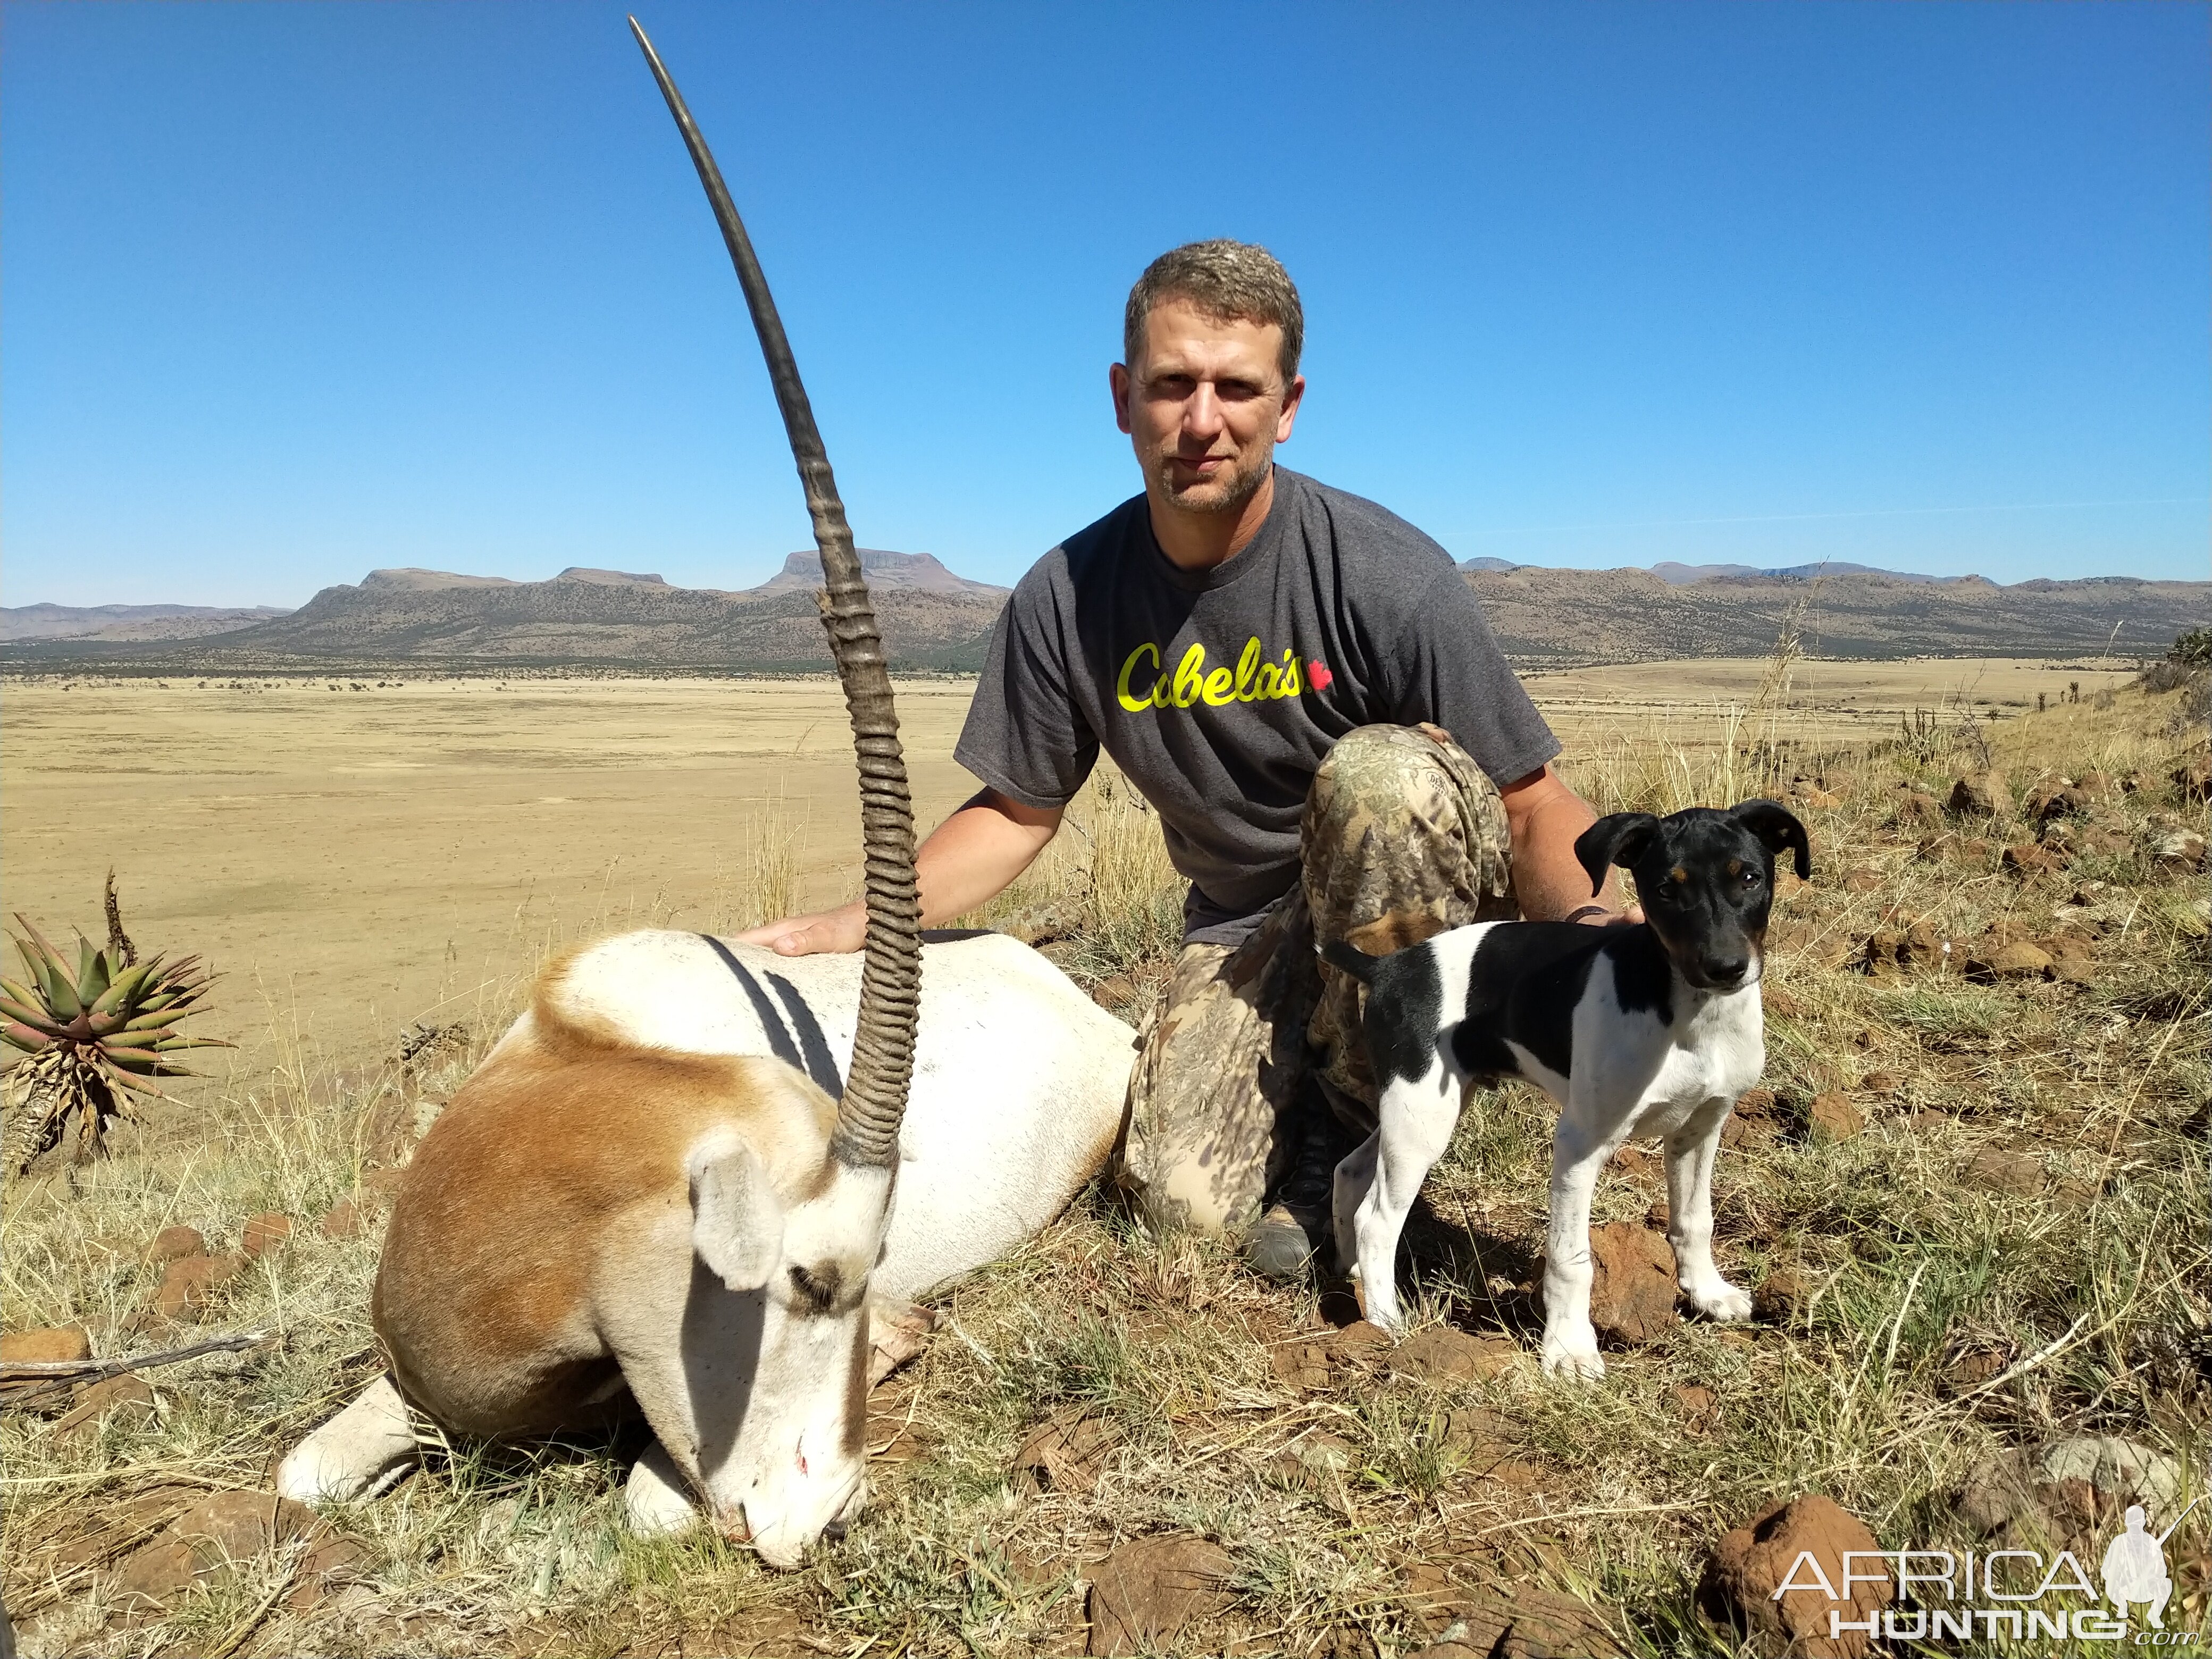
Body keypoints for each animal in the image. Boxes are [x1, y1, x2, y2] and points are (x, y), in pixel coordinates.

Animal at [1318, 800, 1805, 1380]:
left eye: (1749, 878)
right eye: (1667, 889)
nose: (1725, 967)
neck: (1687, 1014)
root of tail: (1387, 966)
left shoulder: (1699, 1130)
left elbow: (1694, 1220)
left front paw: (1707, 1293)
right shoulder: (1580, 1144)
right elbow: (1571, 1259)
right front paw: (1570, 1349)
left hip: (1421, 1107)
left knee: (1350, 1171)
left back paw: (1352, 1276)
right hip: (1422, 1120)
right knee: (1377, 1219)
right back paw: (1386, 1323)